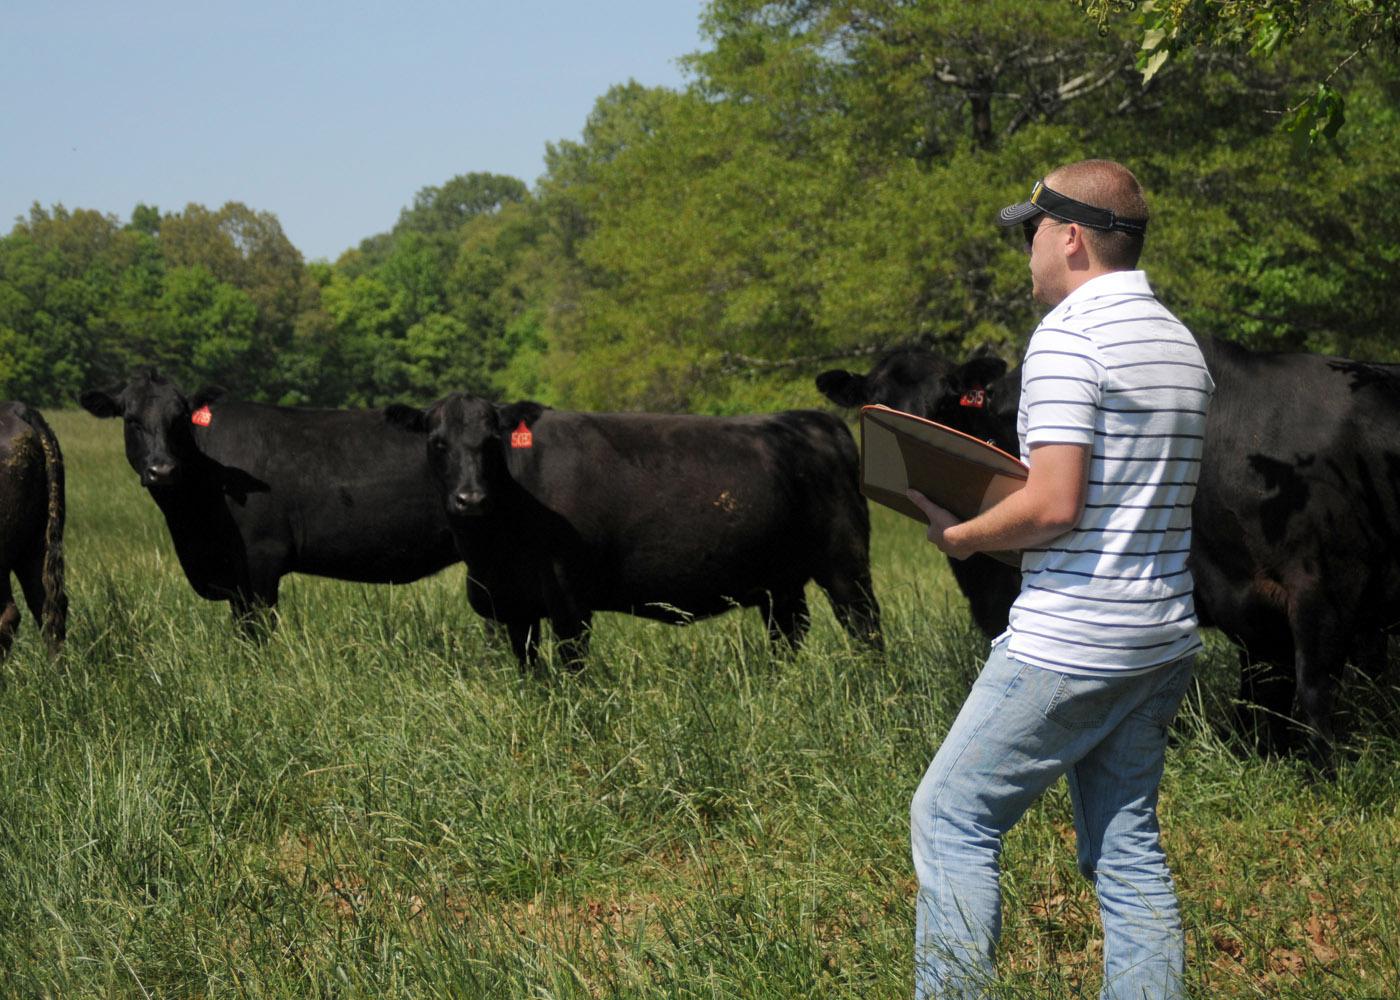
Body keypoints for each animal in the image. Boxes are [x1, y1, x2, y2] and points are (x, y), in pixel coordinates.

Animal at [80, 369, 459, 627]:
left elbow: (258, 628)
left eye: (180, 419)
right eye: (131, 420)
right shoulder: (234, 576)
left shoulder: (262, 557)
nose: (162, 469)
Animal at [389, 392, 879, 666]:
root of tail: (816, 420)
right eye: (437, 443)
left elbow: (572, 667)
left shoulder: (569, 602)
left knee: (865, 628)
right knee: (789, 634)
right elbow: (531, 670)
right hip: (781, 583)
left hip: (846, 564)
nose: (470, 498)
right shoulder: (513, 608)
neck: (492, 555)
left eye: (493, 441)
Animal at [817, 338, 1400, 750]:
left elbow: (1311, 693)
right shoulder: (1256, 617)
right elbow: (1262, 703)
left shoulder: (1320, 588)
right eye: (874, 403)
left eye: (947, 399)